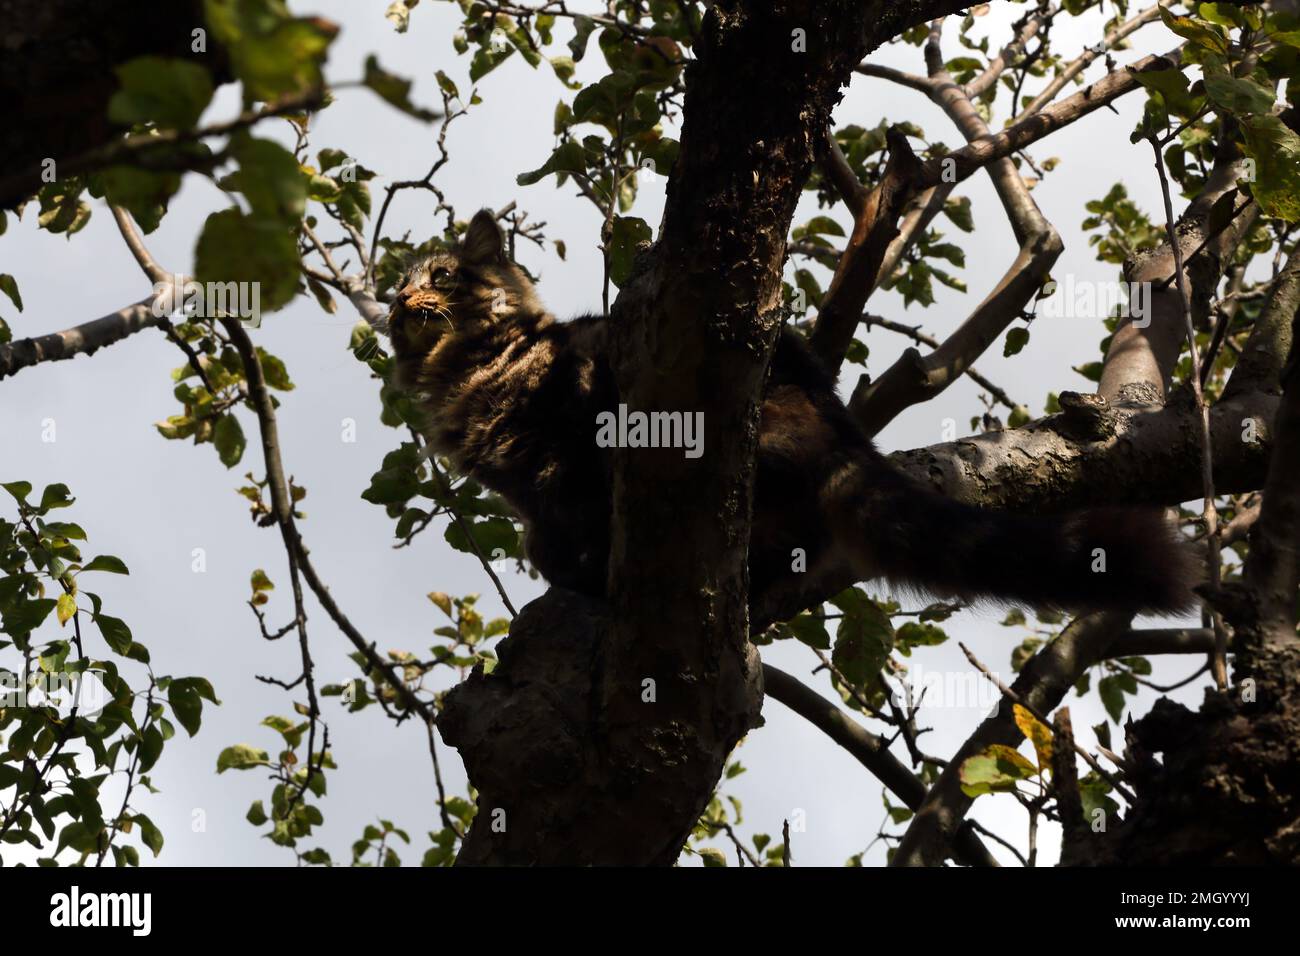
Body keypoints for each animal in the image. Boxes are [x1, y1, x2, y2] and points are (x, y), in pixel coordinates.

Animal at [384, 209, 1196, 616]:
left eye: (443, 276)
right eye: (398, 289)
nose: (402, 299)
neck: (469, 370)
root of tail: (841, 436)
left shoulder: (567, 440)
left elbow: (569, 515)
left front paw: (571, 571)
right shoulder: (523, 487)